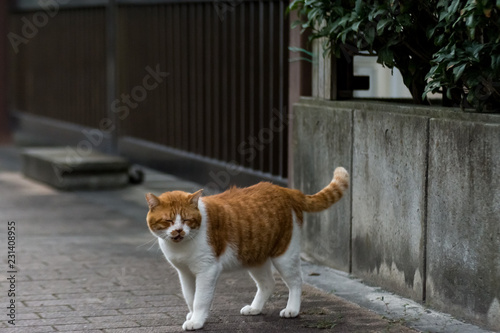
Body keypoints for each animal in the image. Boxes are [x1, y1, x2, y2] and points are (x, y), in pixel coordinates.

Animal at [145, 166, 348, 330]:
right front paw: (192, 314)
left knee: (297, 281)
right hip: (255, 256)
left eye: (187, 220)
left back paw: (292, 309)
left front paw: (197, 320)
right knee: (268, 284)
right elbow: (189, 297)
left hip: (284, 255)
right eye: (168, 221)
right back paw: (255, 308)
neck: (181, 247)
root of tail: (285, 190)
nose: (179, 231)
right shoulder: (185, 273)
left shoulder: (207, 270)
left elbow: (200, 299)